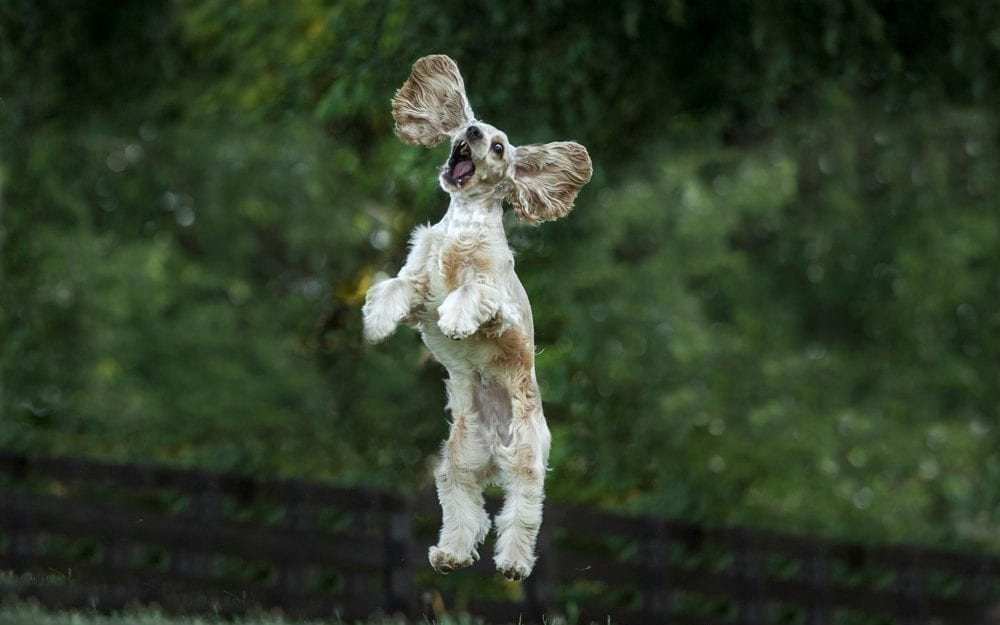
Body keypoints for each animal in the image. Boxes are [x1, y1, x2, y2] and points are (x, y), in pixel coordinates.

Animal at [362, 54, 588, 580]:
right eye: (474, 123)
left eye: (499, 145)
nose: (472, 131)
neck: (463, 221)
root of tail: (493, 451)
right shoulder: (420, 282)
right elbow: (397, 286)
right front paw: (377, 321)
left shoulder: (497, 301)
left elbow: (470, 293)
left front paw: (457, 322)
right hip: (458, 461)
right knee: (464, 509)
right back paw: (449, 555)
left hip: (525, 459)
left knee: (520, 514)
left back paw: (512, 565)